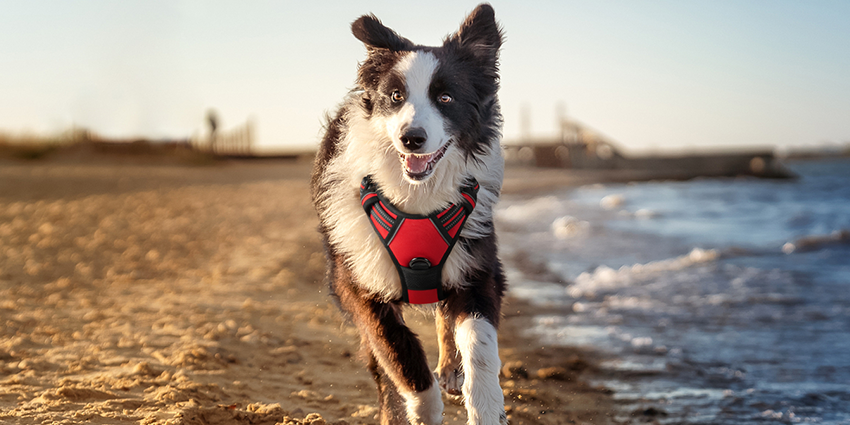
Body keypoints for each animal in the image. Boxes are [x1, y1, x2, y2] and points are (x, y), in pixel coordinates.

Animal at [314, 4, 504, 424]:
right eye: (396, 96)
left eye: (446, 98)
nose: (411, 139)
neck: (416, 198)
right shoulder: (360, 287)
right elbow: (401, 358)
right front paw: (425, 409)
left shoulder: (477, 268)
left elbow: (480, 346)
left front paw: (485, 405)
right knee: (382, 366)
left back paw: (451, 368)